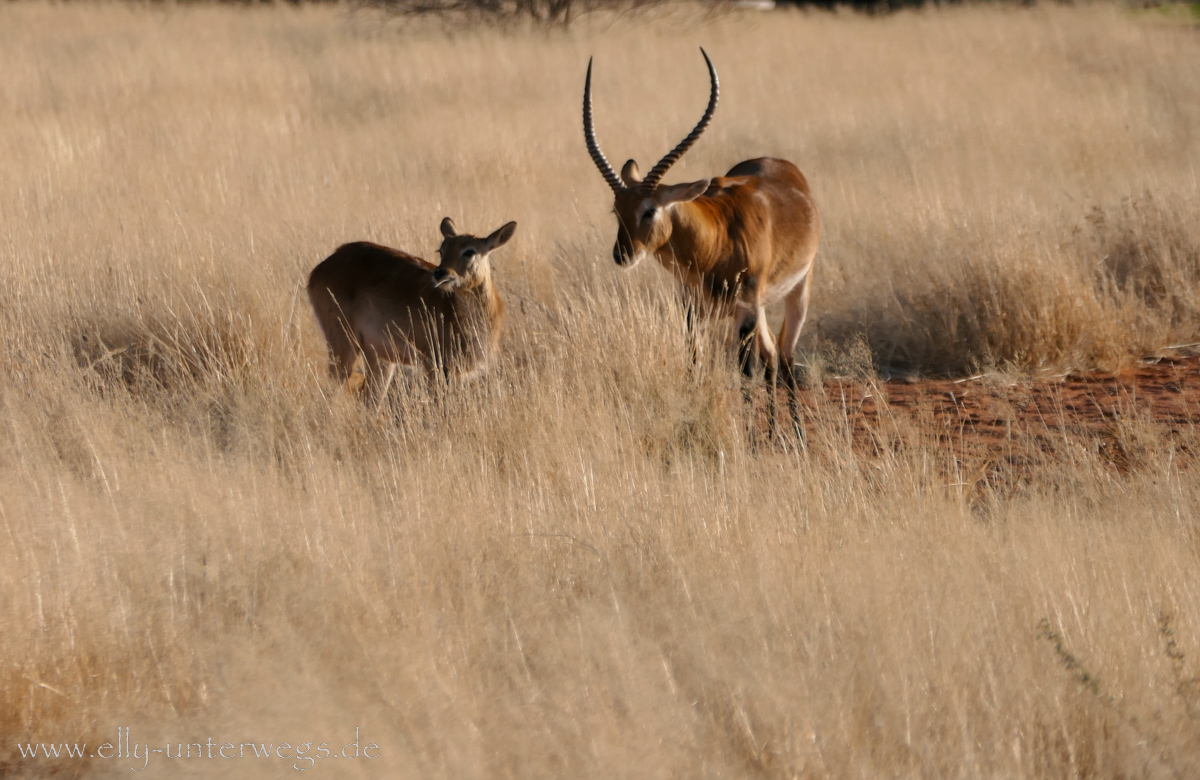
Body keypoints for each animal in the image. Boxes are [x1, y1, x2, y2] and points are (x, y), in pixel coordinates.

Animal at [309, 217, 516, 400]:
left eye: (469, 251)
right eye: (441, 249)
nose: (440, 273)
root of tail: (319, 269)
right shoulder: (433, 366)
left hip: (380, 359)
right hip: (344, 346)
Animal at [583, 50, 825, 436]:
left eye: (649, 210)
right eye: (616, 210)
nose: (622, 255)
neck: (717, 241)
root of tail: (781, 165)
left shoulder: (744, 309)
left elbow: (745, 372)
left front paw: (750, 441)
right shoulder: (692, 307)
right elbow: (693, 362)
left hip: (796, 291)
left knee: (785, 357)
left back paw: (796, 436)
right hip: (760, 306)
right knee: (772, 355)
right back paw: (775, 432)